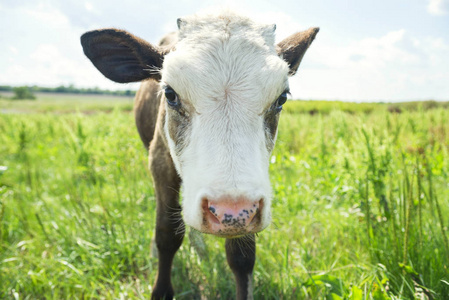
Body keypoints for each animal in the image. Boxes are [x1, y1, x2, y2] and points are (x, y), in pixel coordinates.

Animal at [81, 9, 318, 300]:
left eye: (281, 98)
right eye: (170, 94)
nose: (229, 211)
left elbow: (242, 255)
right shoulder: (159, 162)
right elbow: (167, 233)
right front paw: (161, 288)